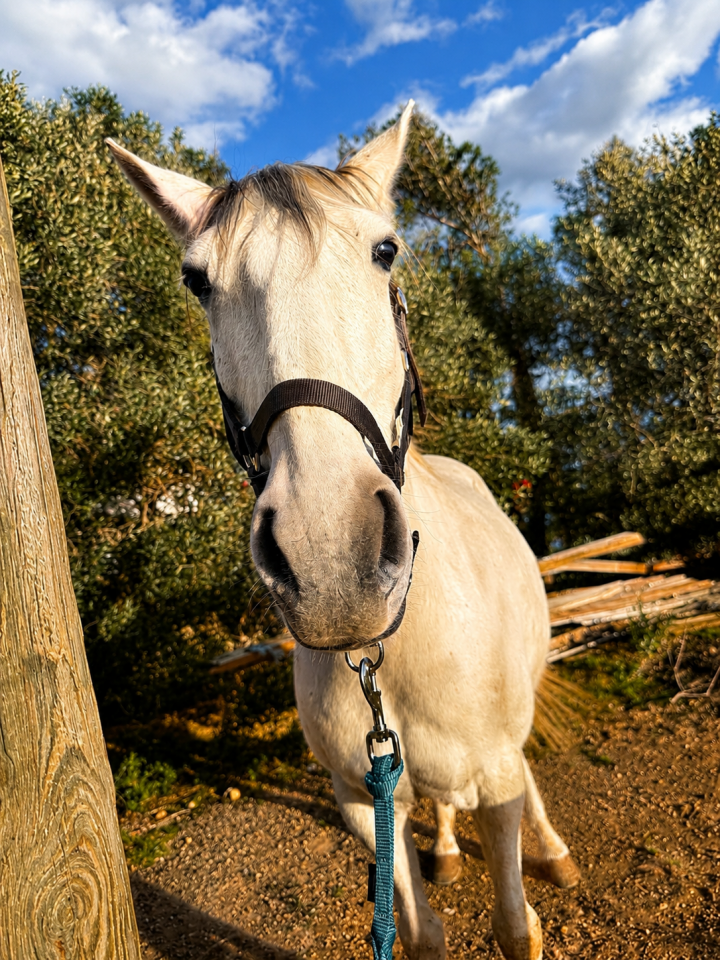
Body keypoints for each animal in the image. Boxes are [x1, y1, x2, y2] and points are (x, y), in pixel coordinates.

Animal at [108, 101, 580, 960]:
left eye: (385, 250)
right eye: (198, 281)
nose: (330, 556)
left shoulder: (495, 775)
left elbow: (514, 924)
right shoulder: (362, 802)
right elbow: (419, 932)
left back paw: (555, 853)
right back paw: (447, 848)